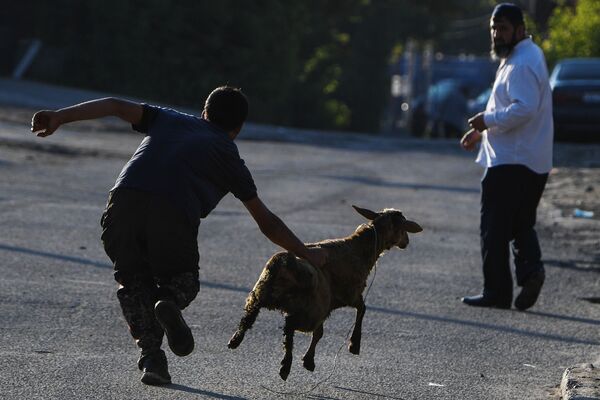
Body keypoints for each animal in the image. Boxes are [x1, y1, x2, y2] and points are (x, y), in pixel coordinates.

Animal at [227, 206, 424, 382]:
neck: (361, 248)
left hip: (261, 293)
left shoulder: (326, 306)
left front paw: (309, 361)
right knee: (289, 326)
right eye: (403, 228)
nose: (407, 242)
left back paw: (235, 340)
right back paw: (285, 366)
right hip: (307, 310)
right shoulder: (348, 295)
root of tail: (283, 263)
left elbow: (319, 332)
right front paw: (354, 344)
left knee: (249, 317)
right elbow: (361, 309)